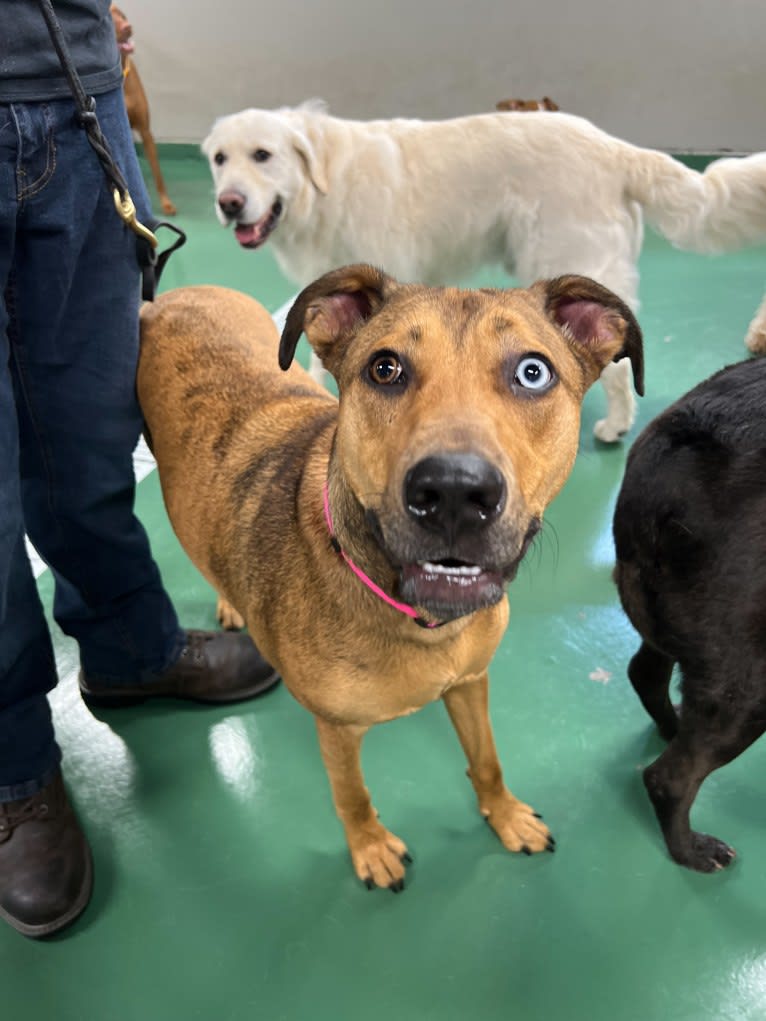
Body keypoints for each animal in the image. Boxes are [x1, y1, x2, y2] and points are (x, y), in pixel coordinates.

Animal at [110, 4, 176, 216]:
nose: (128, 27)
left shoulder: (146, 131)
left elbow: (158, 174)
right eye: (109, 17)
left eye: (121, 15)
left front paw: (166, 203)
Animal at [136, 265, 641, 894]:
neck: (419, 621)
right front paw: (371, 848)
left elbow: (487, 759)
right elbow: (351, 794)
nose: (453, 493)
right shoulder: (336, 729)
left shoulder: (470, 682)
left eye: (533, 372)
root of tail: (172, 296)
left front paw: (505, 816)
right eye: (385, 368)